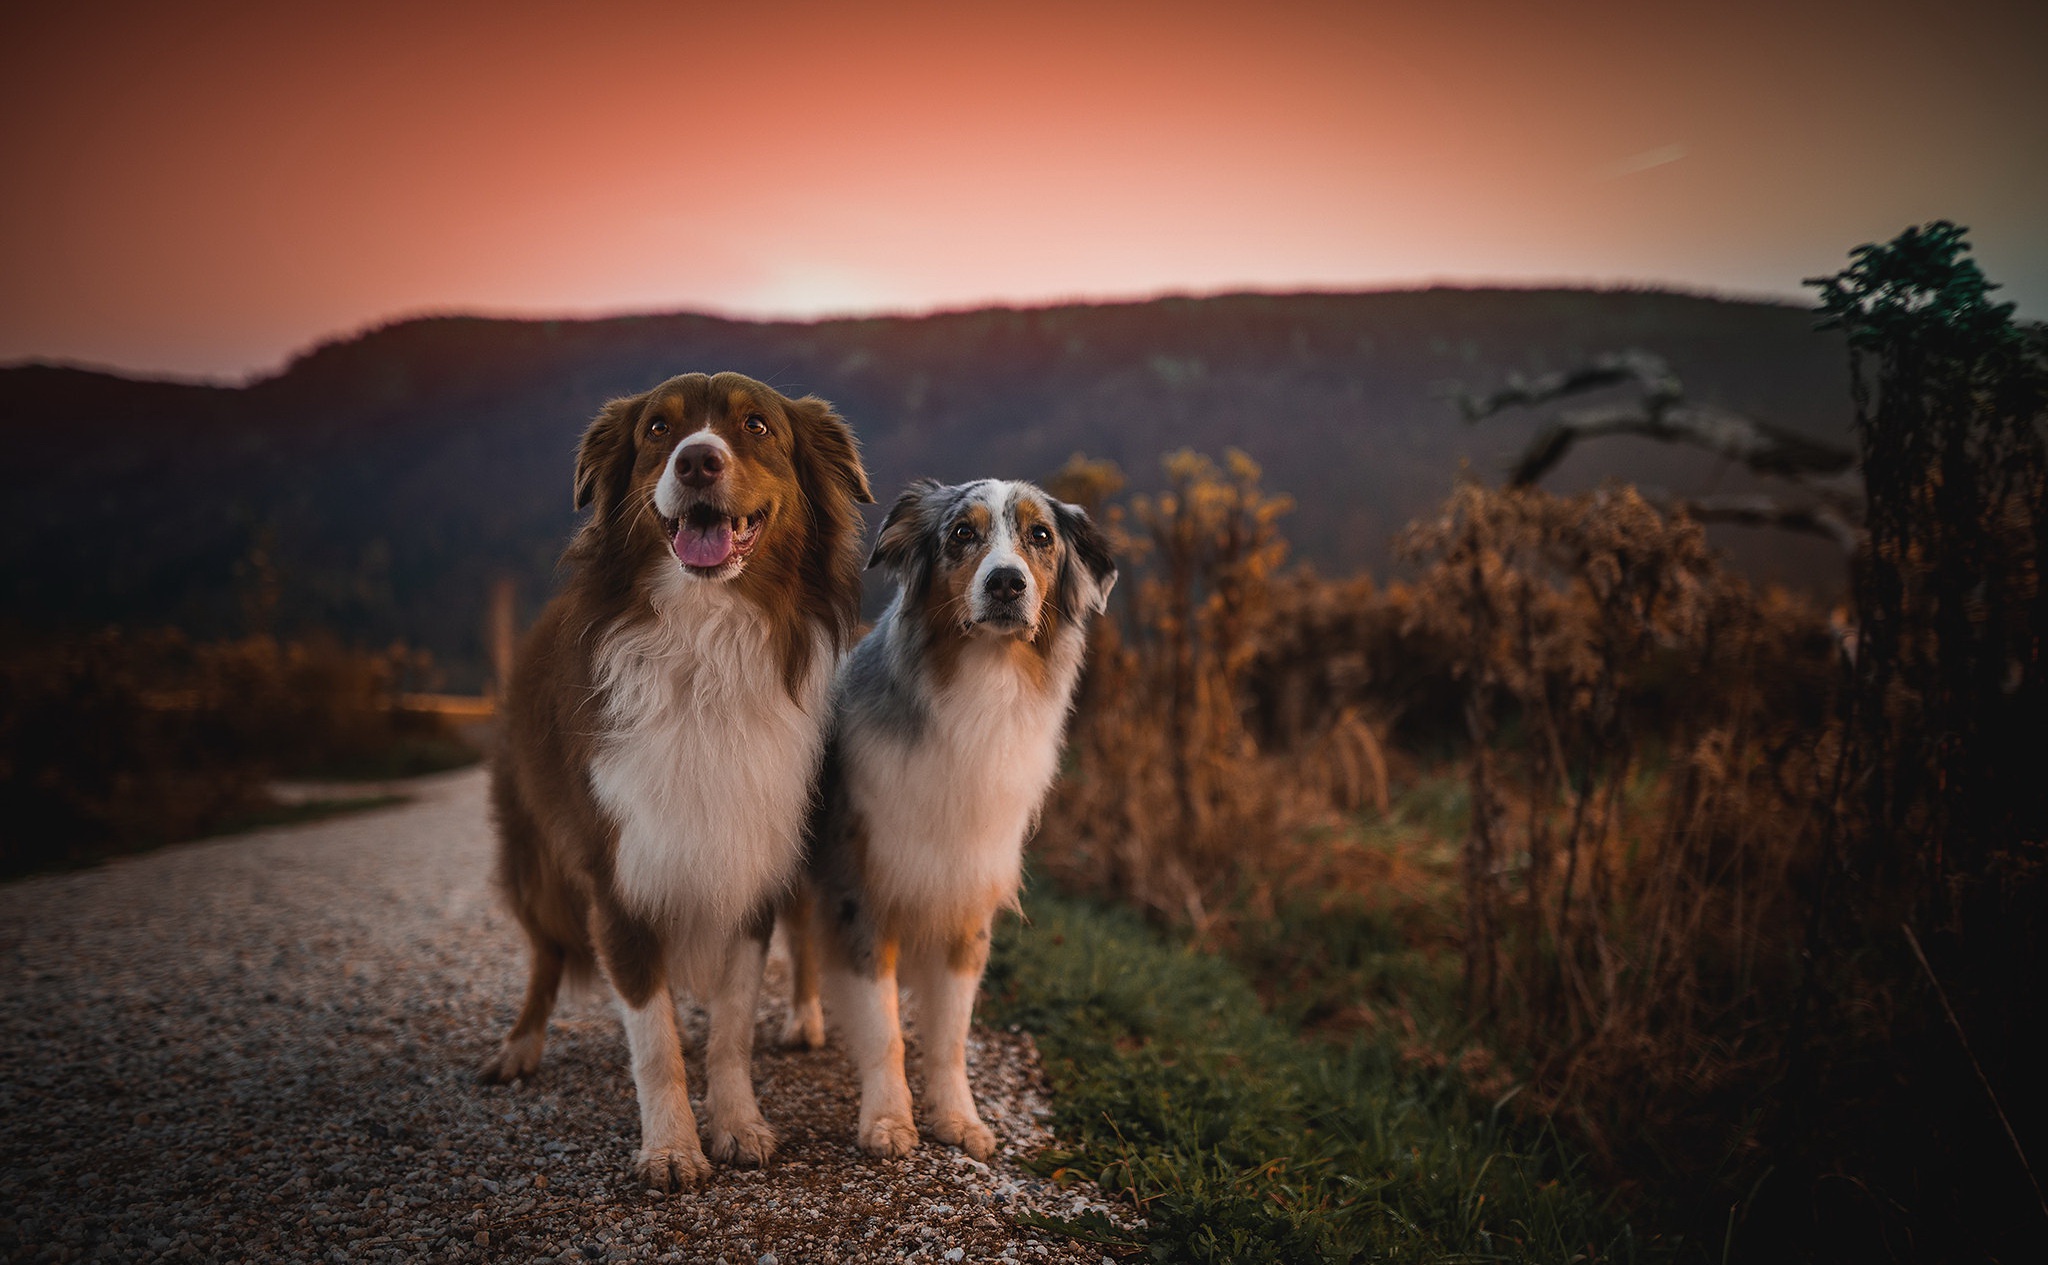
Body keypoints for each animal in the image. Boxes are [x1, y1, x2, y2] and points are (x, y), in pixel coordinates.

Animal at [479, 368, 872, 1187]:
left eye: (756, 425)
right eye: (658, 429)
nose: (696, 461)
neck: (705, 636)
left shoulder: (753, 859)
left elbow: (730, 1026)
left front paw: (738, 1122)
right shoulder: (620, 879)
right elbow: (654, 1040)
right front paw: (670, 1146)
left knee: (805, 937)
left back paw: (805, 1018)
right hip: (536, 861)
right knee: (543, 954)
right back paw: (520, 1046)